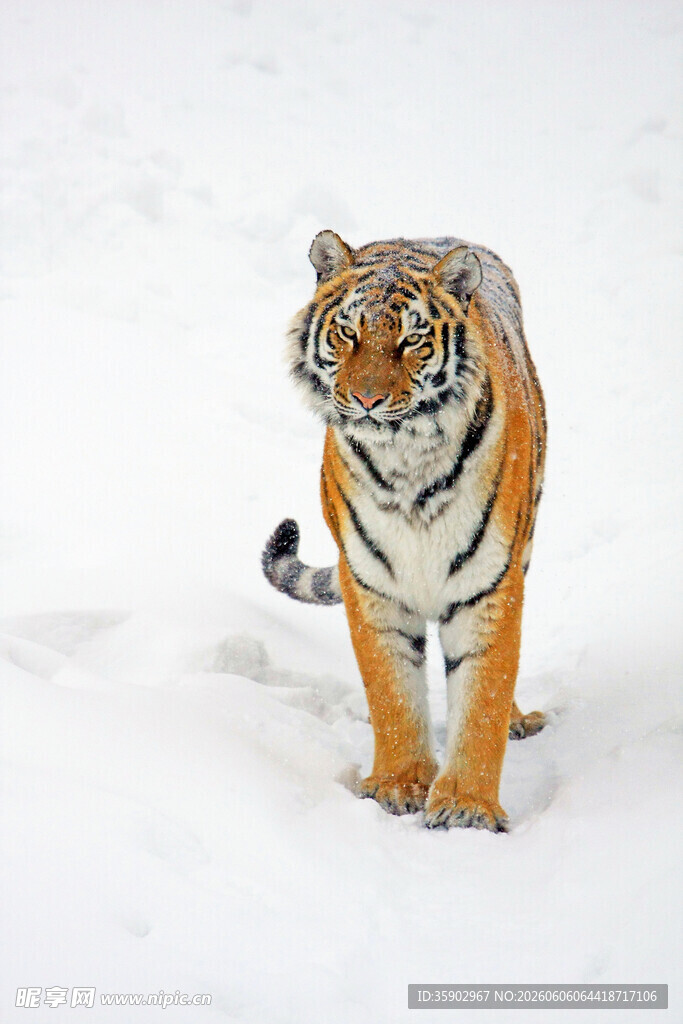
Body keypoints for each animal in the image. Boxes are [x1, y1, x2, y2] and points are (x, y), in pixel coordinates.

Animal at [262, 231, 547, 832]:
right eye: (348, 333)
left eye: (412, 339)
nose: (367, 400)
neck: (406, 462)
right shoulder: (372, 585)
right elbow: (392, 693)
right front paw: (400, 784)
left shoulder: (490, 585)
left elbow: (483, 695)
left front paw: (466, 805)